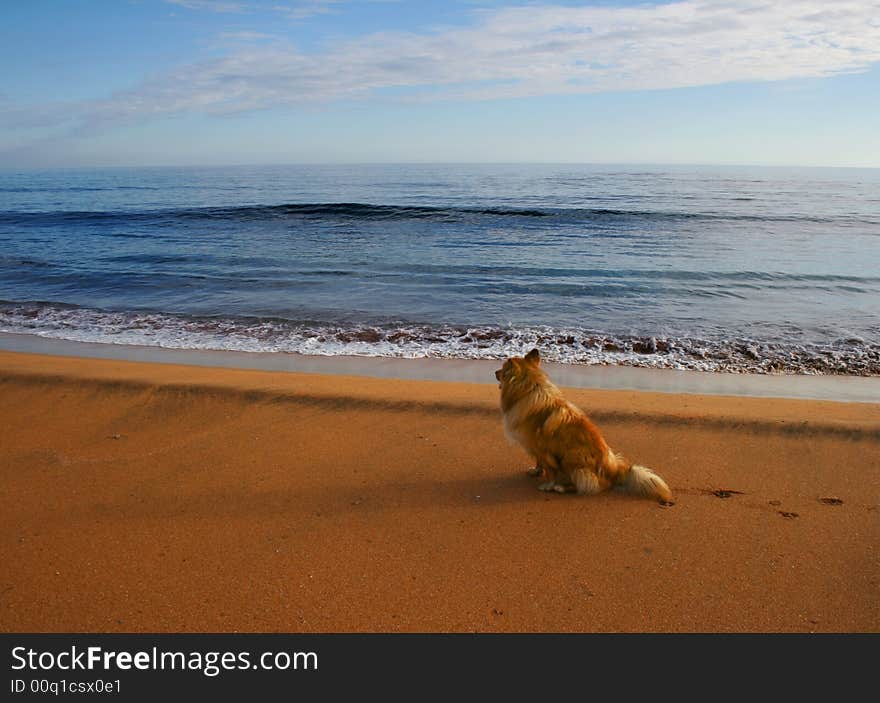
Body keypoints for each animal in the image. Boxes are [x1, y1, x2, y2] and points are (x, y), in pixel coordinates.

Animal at [496, 348, 672, 506]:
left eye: (503, 370)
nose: (495, 372)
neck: (529, 390)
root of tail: (614, 471)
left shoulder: (543, 448)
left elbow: (550, 470)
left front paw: (548, 485)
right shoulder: (535, 448)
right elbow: (539, 462)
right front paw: (536, 471)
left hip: (571, 458)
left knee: (589, 485)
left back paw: (561, 487)